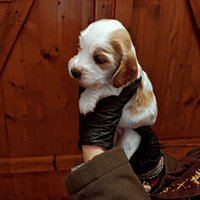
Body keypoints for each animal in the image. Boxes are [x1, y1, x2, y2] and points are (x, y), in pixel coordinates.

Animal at [68, 19, 157, 159]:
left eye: (99, 59)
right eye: (80, 47)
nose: (74, 71)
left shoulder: (120, 86)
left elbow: (101, 86)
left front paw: (85, 100)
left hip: (130, 137)